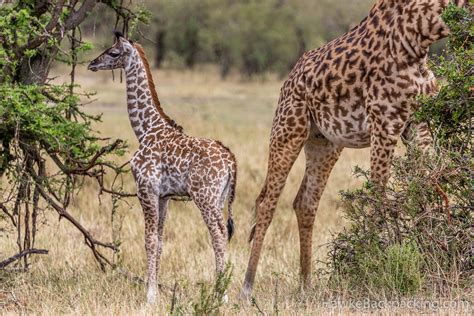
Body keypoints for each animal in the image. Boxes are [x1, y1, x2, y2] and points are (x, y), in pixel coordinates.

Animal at [241, 0, 466, 298]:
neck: (421, 36)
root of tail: (289, 78)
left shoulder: (419, 125)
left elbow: (427, 188)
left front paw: (436, 252)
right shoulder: (384, 122)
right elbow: (379, 197)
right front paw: (374, 263)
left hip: (324, 142)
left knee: (305, 202)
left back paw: (306, 284)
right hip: (288, 129)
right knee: (267, 201)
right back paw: (247, 285)